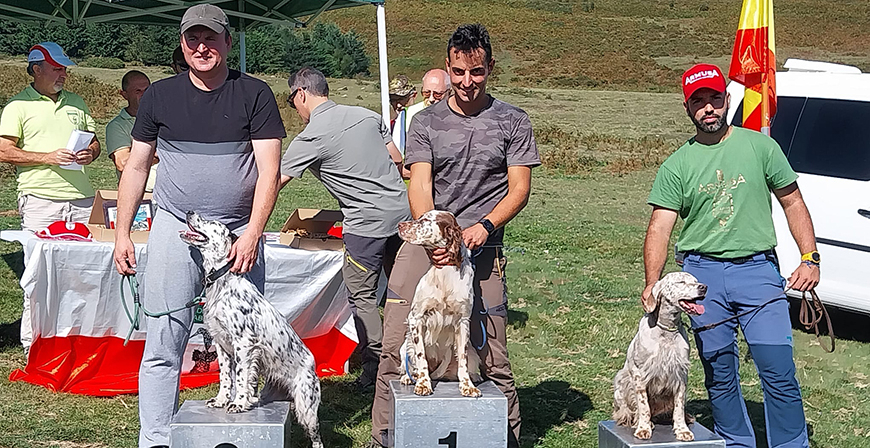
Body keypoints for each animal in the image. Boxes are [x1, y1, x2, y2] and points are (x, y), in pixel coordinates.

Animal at [180, 211, 324, 448]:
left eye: (211, 222)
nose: (190, 212)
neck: (223, 284)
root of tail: (312, 366)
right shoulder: (221, 344)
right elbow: (226, 378)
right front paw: (221, 400)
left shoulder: (243, 345)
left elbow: (240, 378)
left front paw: (238, 404)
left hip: (307, 405)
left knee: (316, 436)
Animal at [396, 211, 484, 400]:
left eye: (426, 220)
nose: (400, 225)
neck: (445, 274)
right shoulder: (416, 318)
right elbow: (421, 356)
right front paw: (423, 384)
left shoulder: (463, 321)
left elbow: (463, 359)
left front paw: (468, 386)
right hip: (404, 346)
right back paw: (409, 377)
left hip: (474, 354)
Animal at [612, 272, 708, 440]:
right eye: (681, 282)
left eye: (696, 281)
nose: (704, 287)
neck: (667, 331)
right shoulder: (639, 374)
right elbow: (643, 405)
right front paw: (643, 428)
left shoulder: (680, 373)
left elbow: (679, 406)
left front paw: (682, 430)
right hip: (620, 382)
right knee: (627, 409)